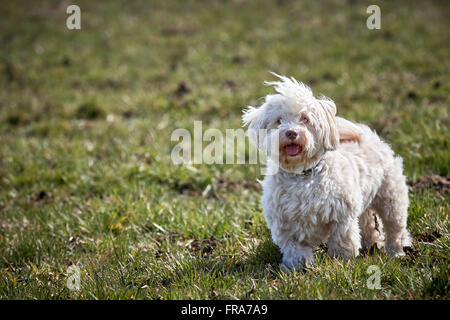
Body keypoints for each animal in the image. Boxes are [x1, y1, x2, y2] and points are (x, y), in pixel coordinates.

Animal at [243, 74, 412, 270]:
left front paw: (342, 262)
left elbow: (342, 241)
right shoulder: (284, 224)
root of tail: (368, 135)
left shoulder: (342, 216)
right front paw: (298, 268)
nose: (291, 132)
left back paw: (397, 252)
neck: (302, 174)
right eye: (279, 120)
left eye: (305, 119)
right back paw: (373, 246)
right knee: (368, 225)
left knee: (395, 228)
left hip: (391, 199)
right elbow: (295, 249)